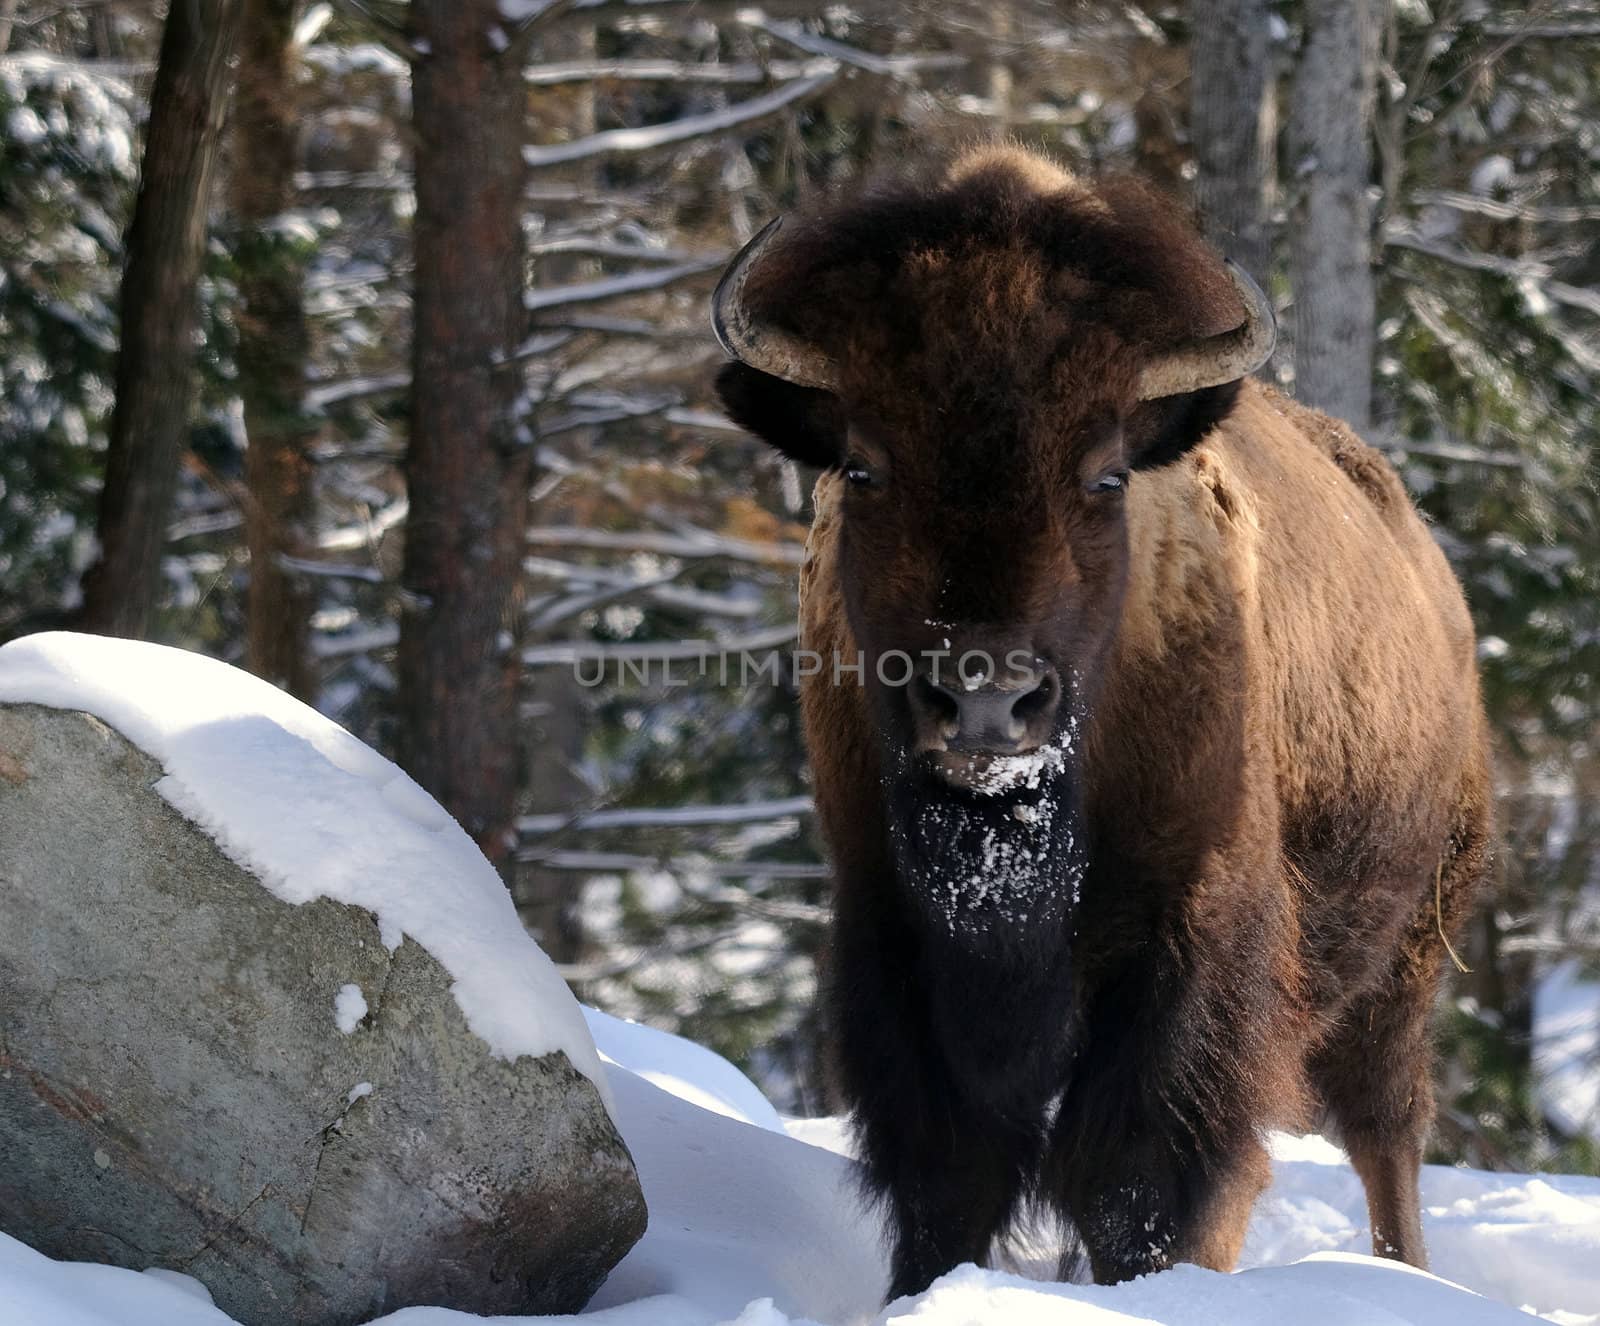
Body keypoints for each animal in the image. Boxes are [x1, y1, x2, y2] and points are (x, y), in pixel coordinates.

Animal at [710, 144, 1484, 1292]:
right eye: (861, 465)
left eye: (1108, 474)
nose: (987, 698)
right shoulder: (890, 933)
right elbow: (950, 1171)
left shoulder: (1188, 939)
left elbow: (1140, 1179)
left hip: (1407, 952)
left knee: (1383, 1128)